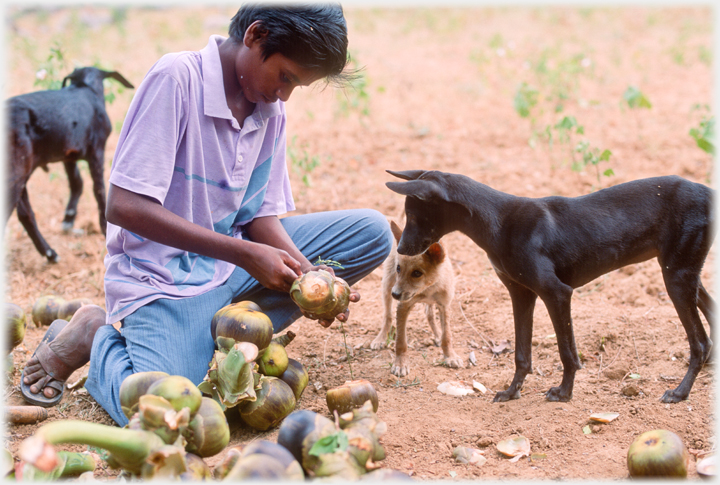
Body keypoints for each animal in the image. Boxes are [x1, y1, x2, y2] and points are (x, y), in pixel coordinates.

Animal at [5, 67, 134, 260]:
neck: (85, 87)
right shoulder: (97, 150)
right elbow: (99, 190)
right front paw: (104, 228)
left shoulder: (69, 155)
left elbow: (77, 183)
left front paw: (68, 219)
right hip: (16, 173)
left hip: (20, 175)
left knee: (25, 213)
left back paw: (49, 253)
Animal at [368, 218, 464, 374]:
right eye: (398, 268)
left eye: (417, 273)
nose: (395, 294)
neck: (428, 289)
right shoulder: (402, 307)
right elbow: (400, 341)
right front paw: (401, 364)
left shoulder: (444, 306)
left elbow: (447, 336)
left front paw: (450, 356)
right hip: (387, 285)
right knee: (387, 316)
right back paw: (381, 338)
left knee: (429, 314)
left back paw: (437, 335)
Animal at [386, 168, 712, 402]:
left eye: (413, 215)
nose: (399, 250)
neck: (499, 221)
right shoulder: (521, 294)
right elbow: (522, 354)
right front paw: (512, 392)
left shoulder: (556, 294)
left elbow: (567, 353)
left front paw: (564, 393)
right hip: (684, 275)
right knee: (711, 314)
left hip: (676, 279)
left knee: (700, 343)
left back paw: (681, 393)